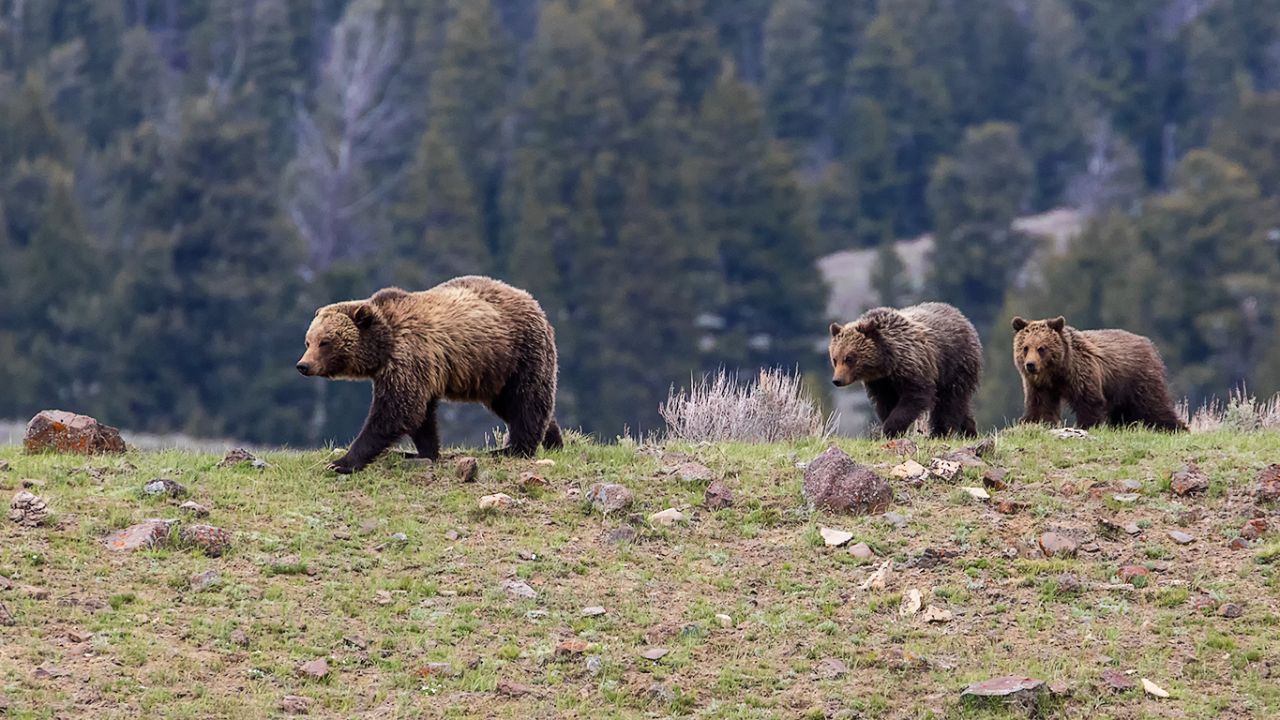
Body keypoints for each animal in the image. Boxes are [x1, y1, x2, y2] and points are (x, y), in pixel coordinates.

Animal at [296, 276, 563, 473]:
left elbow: (395, 411)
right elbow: (420, 415)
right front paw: (423, 452)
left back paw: (513, 448)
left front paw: (342, 462)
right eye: (308, 341)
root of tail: (530, 298)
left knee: (526, 400)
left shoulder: (408, 357)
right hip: (494, 373)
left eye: (325, 342)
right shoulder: (418, 371)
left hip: (518, 352)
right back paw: (553, 441)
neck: (385, 345)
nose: (303, 365)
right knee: (515, 404)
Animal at [829, 302, 982, 438]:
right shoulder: (881, 382)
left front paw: (890, 429)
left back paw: (940, 432)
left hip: (954, 364)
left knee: (949, 400)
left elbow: (914, 397)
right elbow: (885, 403)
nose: (837, 380)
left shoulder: (914, 365)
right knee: (960, 404)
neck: (887, 362)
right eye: (835, 359)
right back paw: (969, 430)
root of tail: (963, 318)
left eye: (849, 358)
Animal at [1011, 316, 1186, 432]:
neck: (1057, 372)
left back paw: (1176, 428)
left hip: (1138, 380)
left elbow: (1089, 402)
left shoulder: (1082, 374)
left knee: (1154, 406)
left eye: (1041, 348)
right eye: (1025, 347)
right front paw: (1032, 423)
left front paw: (1087, 426)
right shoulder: (1040, 386)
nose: (1030, 365)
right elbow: (1040, 405)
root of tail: (1149, 344)